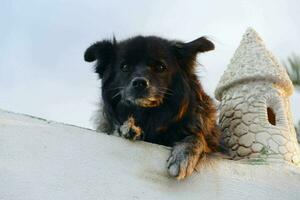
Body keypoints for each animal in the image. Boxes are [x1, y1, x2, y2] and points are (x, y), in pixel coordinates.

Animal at [84, 35, 220, 179]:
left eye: (160, 67)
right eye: (124, 67)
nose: (139, 83)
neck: (148, 115)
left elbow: (197, 137)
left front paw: (184, 155)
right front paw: (127, 127)